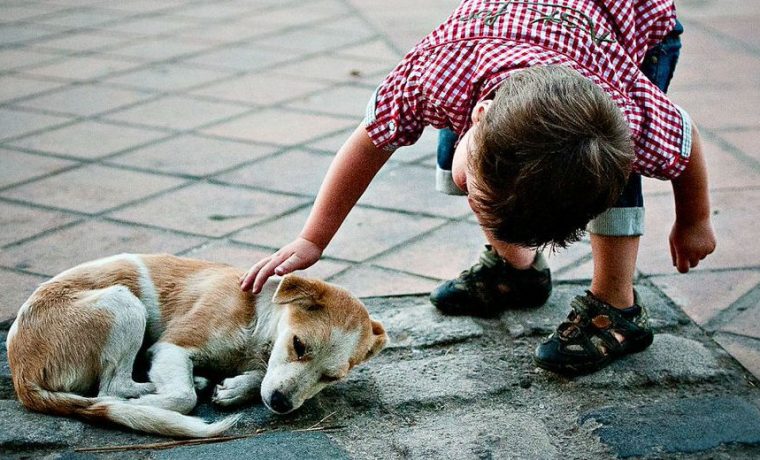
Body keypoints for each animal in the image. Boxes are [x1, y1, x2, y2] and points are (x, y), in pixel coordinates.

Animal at [4, 255, 386, 438]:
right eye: (299, 344)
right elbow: (183, 397)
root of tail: (21, 375)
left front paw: (235, 388)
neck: (257, 316)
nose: (281, 404)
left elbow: (259, 377)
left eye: (330, 377)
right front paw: (152, 404)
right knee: (110, 390)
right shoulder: (172, 346)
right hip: (124, 305)